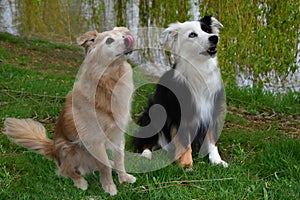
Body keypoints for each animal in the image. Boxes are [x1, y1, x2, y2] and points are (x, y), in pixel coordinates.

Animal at [4, 27, 136, 195]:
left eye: (123, 35)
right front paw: (110, 188)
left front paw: (124, 178)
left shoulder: (118, 135)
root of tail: (53, 149)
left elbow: (120, 160)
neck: (110, 80)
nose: (128, 39)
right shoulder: (94, 139)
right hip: (71, 149)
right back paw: (80, 182)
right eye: (109, 40)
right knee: (65, 170)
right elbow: (104, 166)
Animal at [132, 16, 229, 169]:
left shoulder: (212, 110)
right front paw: (186, 165)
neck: (200, 67)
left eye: (207, 30)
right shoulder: (180, 115)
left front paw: (216, 160)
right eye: (192, 35)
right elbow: (184, 141)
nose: (214, 38)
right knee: (145, 142)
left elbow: (212, 138)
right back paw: (147, 154)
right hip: (154, 111)